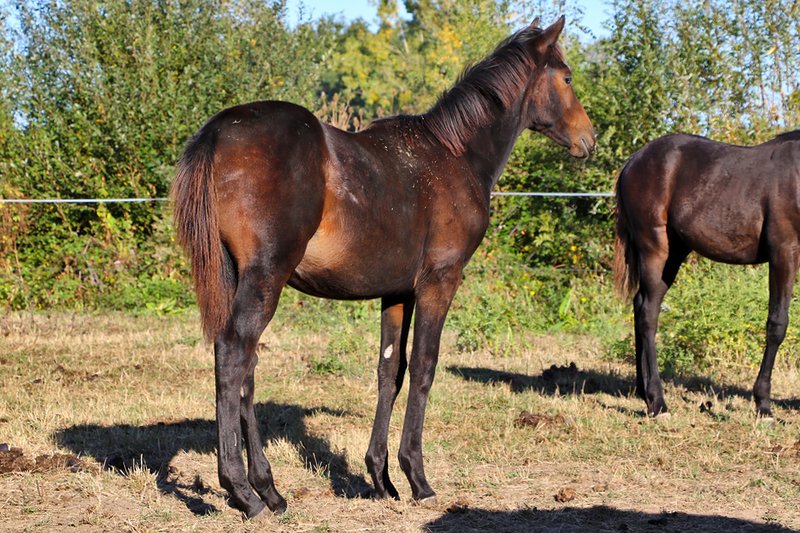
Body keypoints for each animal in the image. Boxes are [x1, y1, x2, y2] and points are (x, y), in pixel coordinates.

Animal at [171, 16, 595, 519]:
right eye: (567, 78)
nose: (588, 139)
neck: (454, 155)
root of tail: (219, 131)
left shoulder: (397, 293)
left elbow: (390, 371)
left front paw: (380, 477)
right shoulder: (439, 282)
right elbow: (425, 368)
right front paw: (418, 478)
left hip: (241, 276)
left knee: (245, 365)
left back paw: (269, 489)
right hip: (266, 276)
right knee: (234, 353)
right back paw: (242, 491)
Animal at [614, 130, 800, 418]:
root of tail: (633, 161)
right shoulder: (784, 252)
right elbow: (777, 325)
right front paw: (764, 405)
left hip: (675, 252)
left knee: (640, 303)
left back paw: (643, 392)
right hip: (654, 247)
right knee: (648, 315)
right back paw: (658, 402)